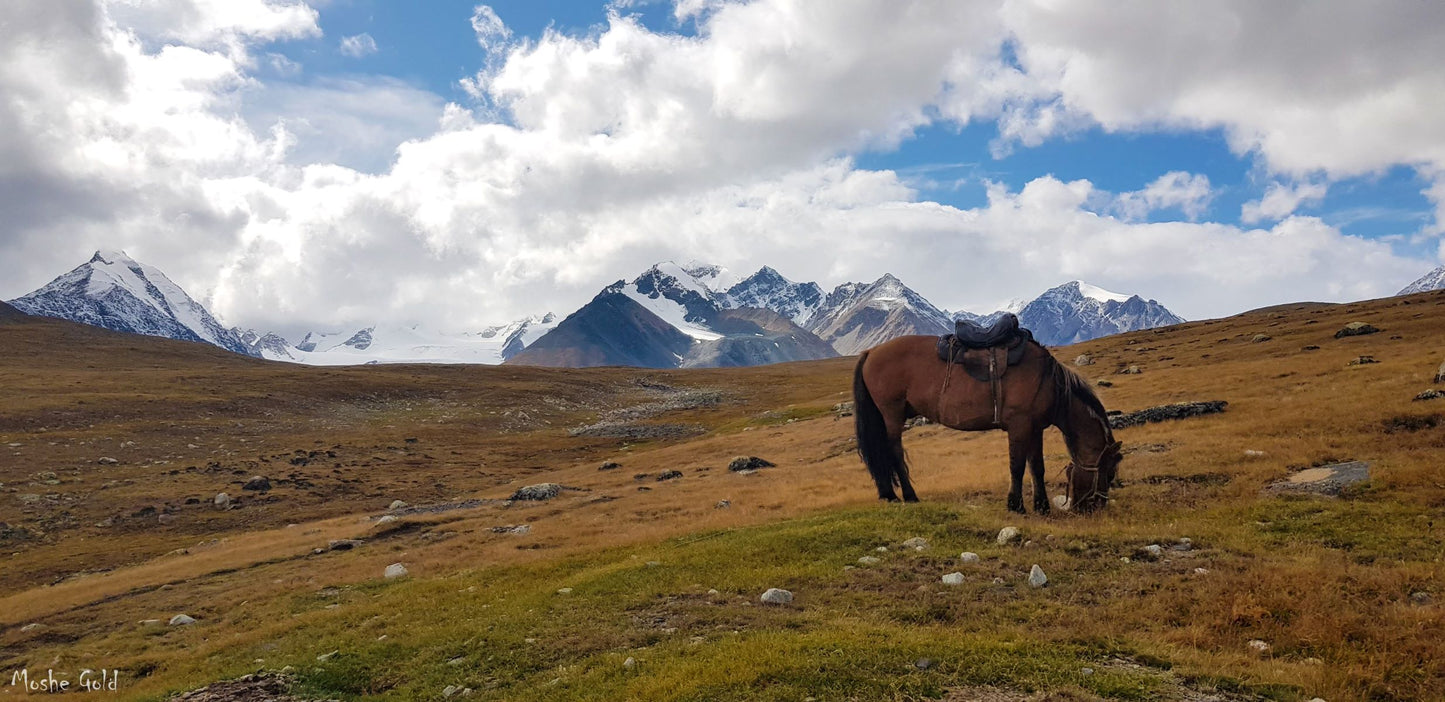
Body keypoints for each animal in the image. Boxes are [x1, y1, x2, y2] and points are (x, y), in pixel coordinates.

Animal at [849, 332, 1121, 514]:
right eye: (1109, 474)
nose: (1095, 508)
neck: (1049, 381)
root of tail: (871, 352)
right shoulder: (1019, 426)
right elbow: (1017, 466)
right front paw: (1016, 505)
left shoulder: (1035, 429)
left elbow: (1037, 467)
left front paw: (1042, 506)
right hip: (892, 415)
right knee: (893, 452)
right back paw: (909, 496)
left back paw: (890, 495)